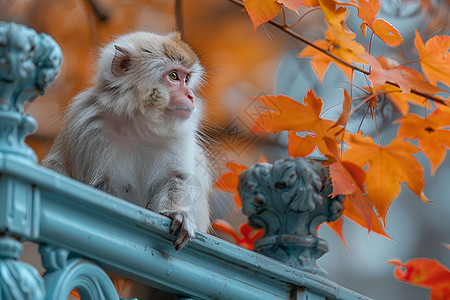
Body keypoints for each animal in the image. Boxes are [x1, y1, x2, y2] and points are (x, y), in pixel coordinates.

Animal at [41, 31, 211, 251]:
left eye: (187, 78)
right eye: (174, 76)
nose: (190, 96)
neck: (139, 126)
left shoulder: (181, 135)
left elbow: (177, 179)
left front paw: (178, 213)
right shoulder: (88, 127)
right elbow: (99, 185)